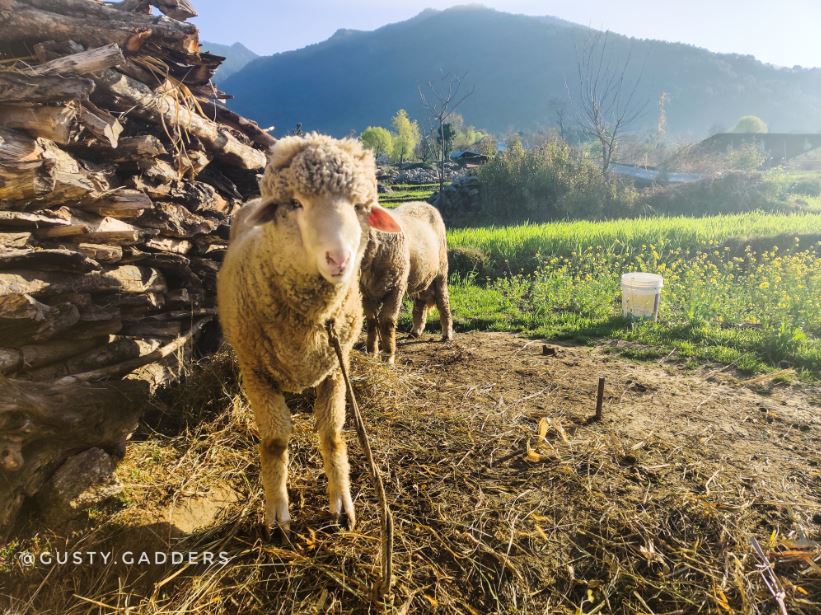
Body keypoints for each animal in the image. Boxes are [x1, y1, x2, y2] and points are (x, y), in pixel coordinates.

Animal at [216, 135, 398, 536]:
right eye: (296, 204)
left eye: (360, 207)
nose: (339, 260)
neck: (314, 315)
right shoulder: (258, 374)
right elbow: (274, 441)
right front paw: (276, 513)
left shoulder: (335, 369)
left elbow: (332, 434)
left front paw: (342, 503)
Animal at [358, 201, 452, 366]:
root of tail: (423, 203)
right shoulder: (366, 293)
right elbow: (371, 322)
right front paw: (371, 353)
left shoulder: (396, 288)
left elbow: (387, 321)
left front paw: (388, 357)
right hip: (421, 274)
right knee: (420, 303)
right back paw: (416, 331)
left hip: (441, 270)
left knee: (443, 302)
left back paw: (447, 334)